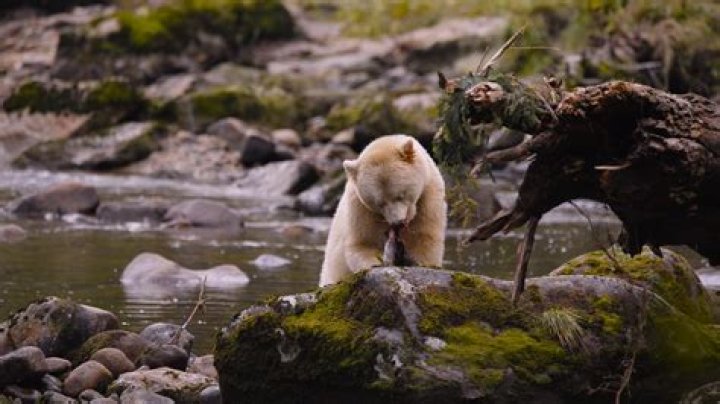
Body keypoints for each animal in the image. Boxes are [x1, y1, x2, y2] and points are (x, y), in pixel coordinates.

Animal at [319, 134, 447, 286]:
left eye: (400, 195)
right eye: (379, 203)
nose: (398, 222)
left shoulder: (429, 198)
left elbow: (425, 239)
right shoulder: (360, 208)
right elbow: (362, 243)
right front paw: (377, 264)